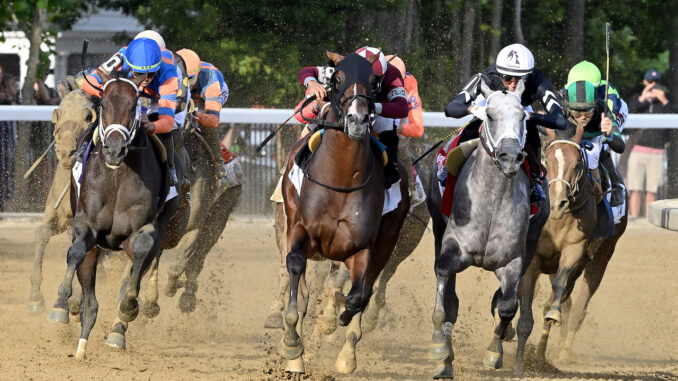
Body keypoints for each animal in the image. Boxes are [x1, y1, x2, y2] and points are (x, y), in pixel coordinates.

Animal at [280, 51, 410, 374]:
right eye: (336, 78)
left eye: (374, 81)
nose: (358, 120)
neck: (340, 180)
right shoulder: (301, 230)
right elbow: (296, 267)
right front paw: (292, 345)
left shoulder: (361, 248)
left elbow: (359, 296)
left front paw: (338, 322)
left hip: (387, 241)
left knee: (366, 289)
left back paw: (345, 353)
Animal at [424, 81, 552, 378]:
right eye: (490, 116)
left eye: (523, 117)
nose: (510, 157)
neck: (492, 202)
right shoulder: (453, 245)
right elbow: (444, 287)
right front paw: (439, 346)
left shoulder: (512, 259)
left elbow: (507, 306)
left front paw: (494, 351)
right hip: (438, 225)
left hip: (532, 239)